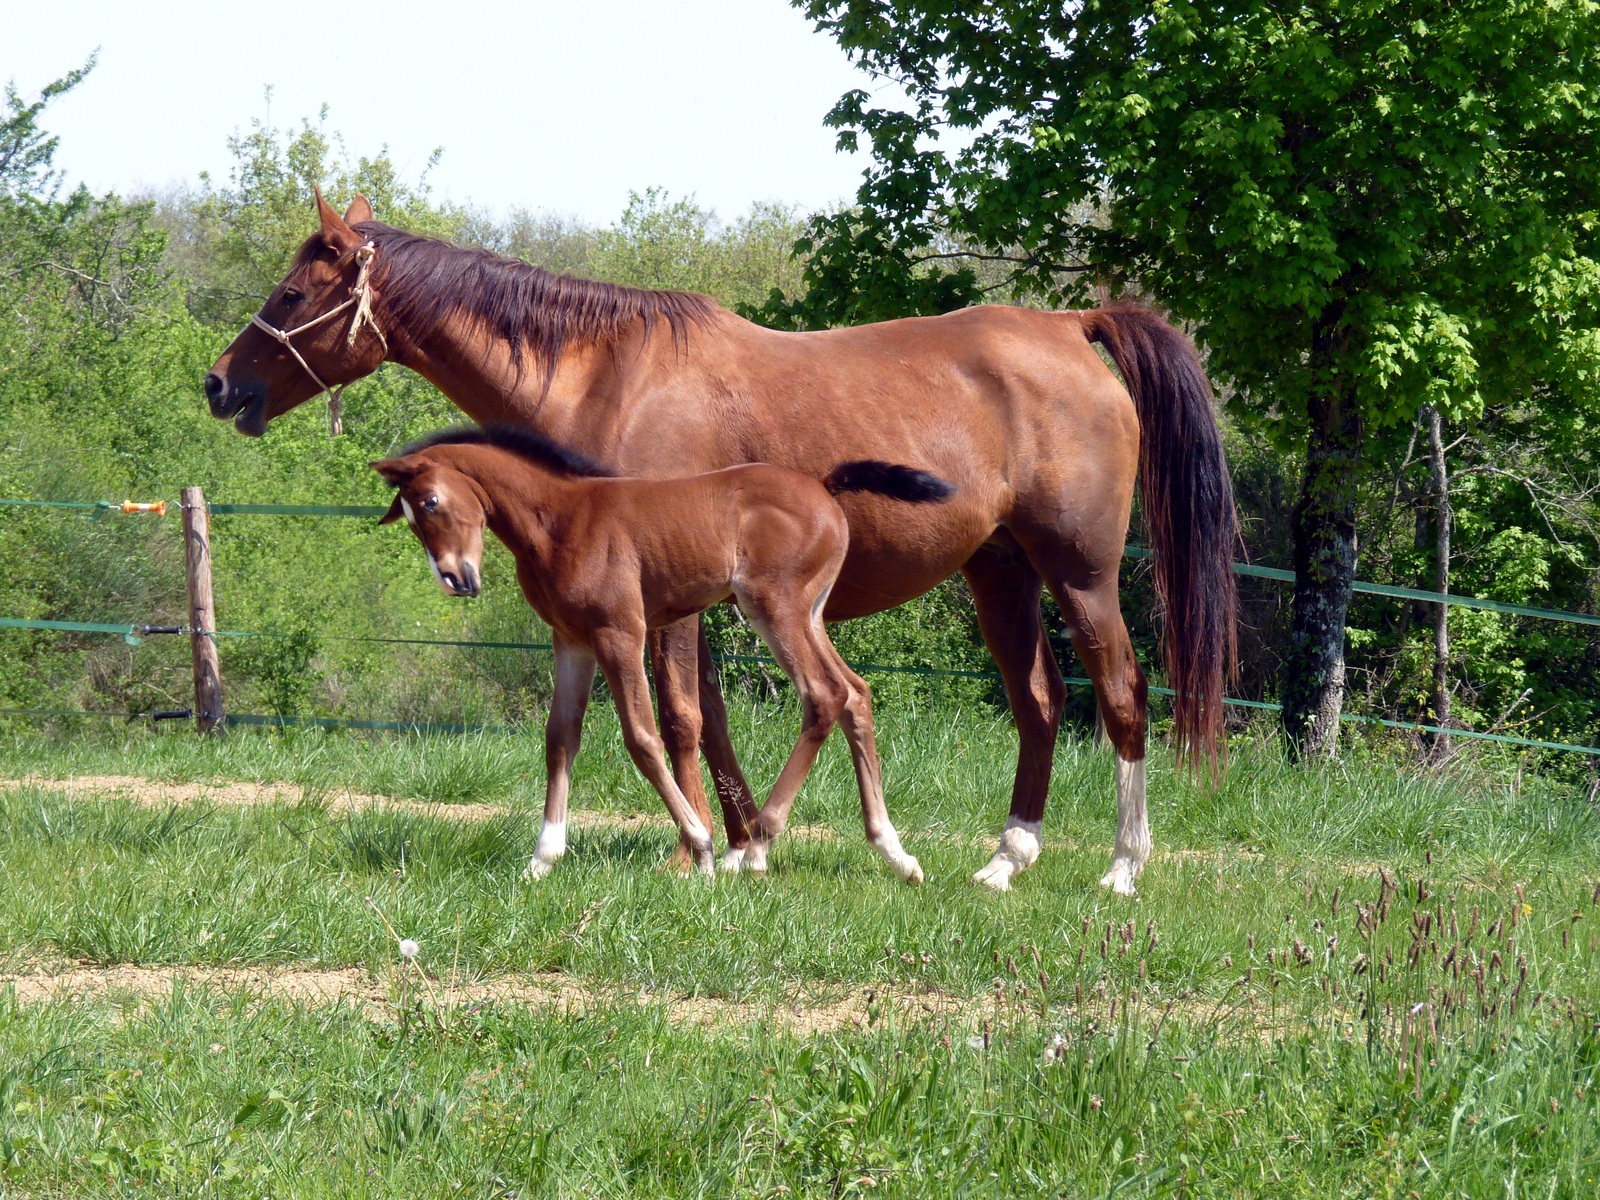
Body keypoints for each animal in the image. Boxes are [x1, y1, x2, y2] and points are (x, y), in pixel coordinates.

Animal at [373, 424, 955, 882]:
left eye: (431, 502)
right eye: (409, 518)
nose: (455, 580)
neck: (560, 521)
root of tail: (824, 487)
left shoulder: (620, 633)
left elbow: (641, 737)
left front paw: (700, 846)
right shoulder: (572, 640)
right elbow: (560, 737)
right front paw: (542, 859)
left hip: (774, 606)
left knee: (824, 694)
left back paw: (757, 849)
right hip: (809, 615)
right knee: (856, 693)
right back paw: (895, 854)